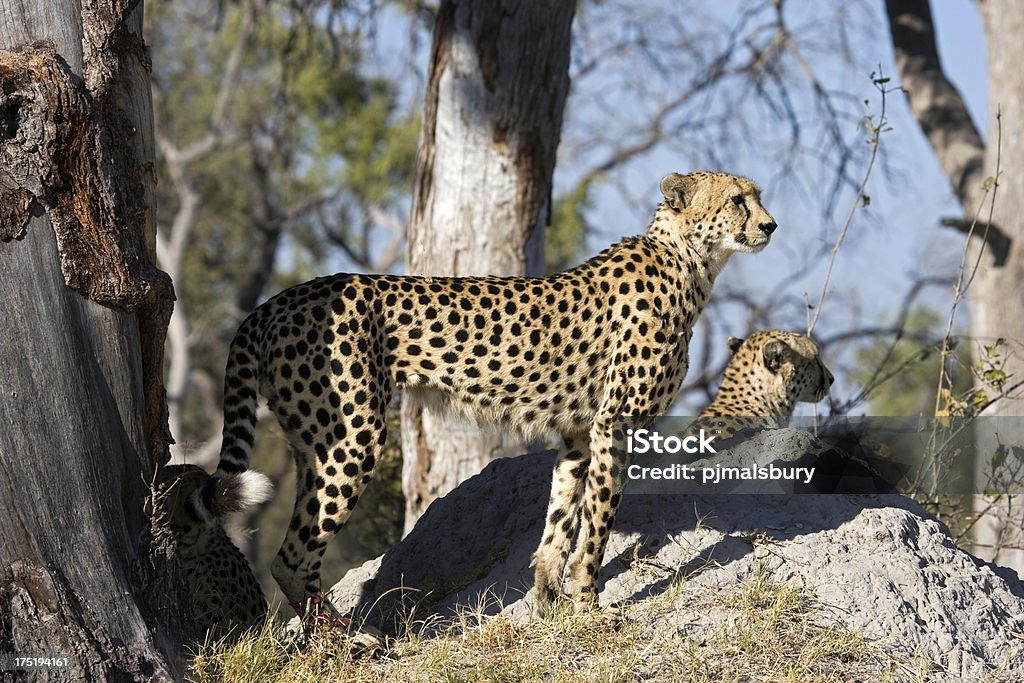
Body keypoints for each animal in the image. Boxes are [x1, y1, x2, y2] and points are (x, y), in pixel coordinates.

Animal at [193, 169, 774, 614]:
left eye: (758, 195)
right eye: (737, 199)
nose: (770, 224)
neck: (688, 260)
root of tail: (277, 300)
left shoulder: (579, 431)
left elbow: (560, 518)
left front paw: (547, 603)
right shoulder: (617, 423)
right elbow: (599, 517)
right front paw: (589, 604)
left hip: (311, 441)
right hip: (352, 436)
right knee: (291, 557)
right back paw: (342, 642)